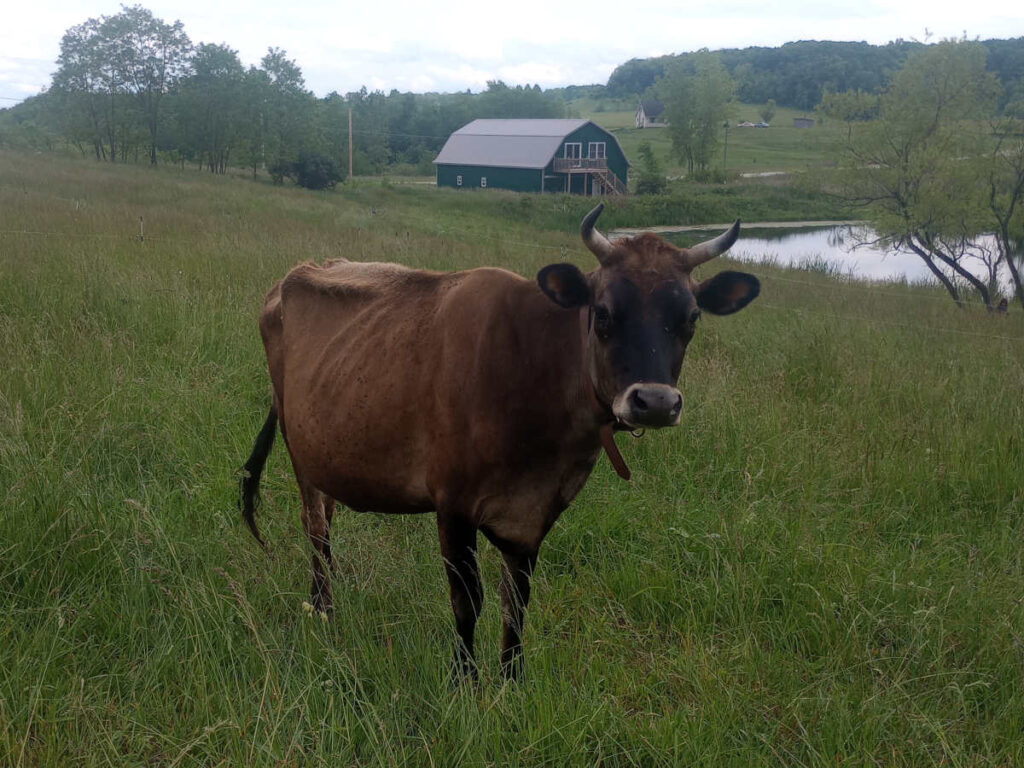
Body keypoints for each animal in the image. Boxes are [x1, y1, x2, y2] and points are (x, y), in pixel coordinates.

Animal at [240, 204, 759, 679]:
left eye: (692, 317)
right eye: (603, 312)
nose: (654, 402)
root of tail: (297, 273)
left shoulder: (536, 512)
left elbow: (518, 601)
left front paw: (512, 678)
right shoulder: (453, 503)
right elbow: (467, 600)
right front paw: (465, 680)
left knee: (326, 517)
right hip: (297, 447)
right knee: (315, 526)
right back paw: (322, 608)